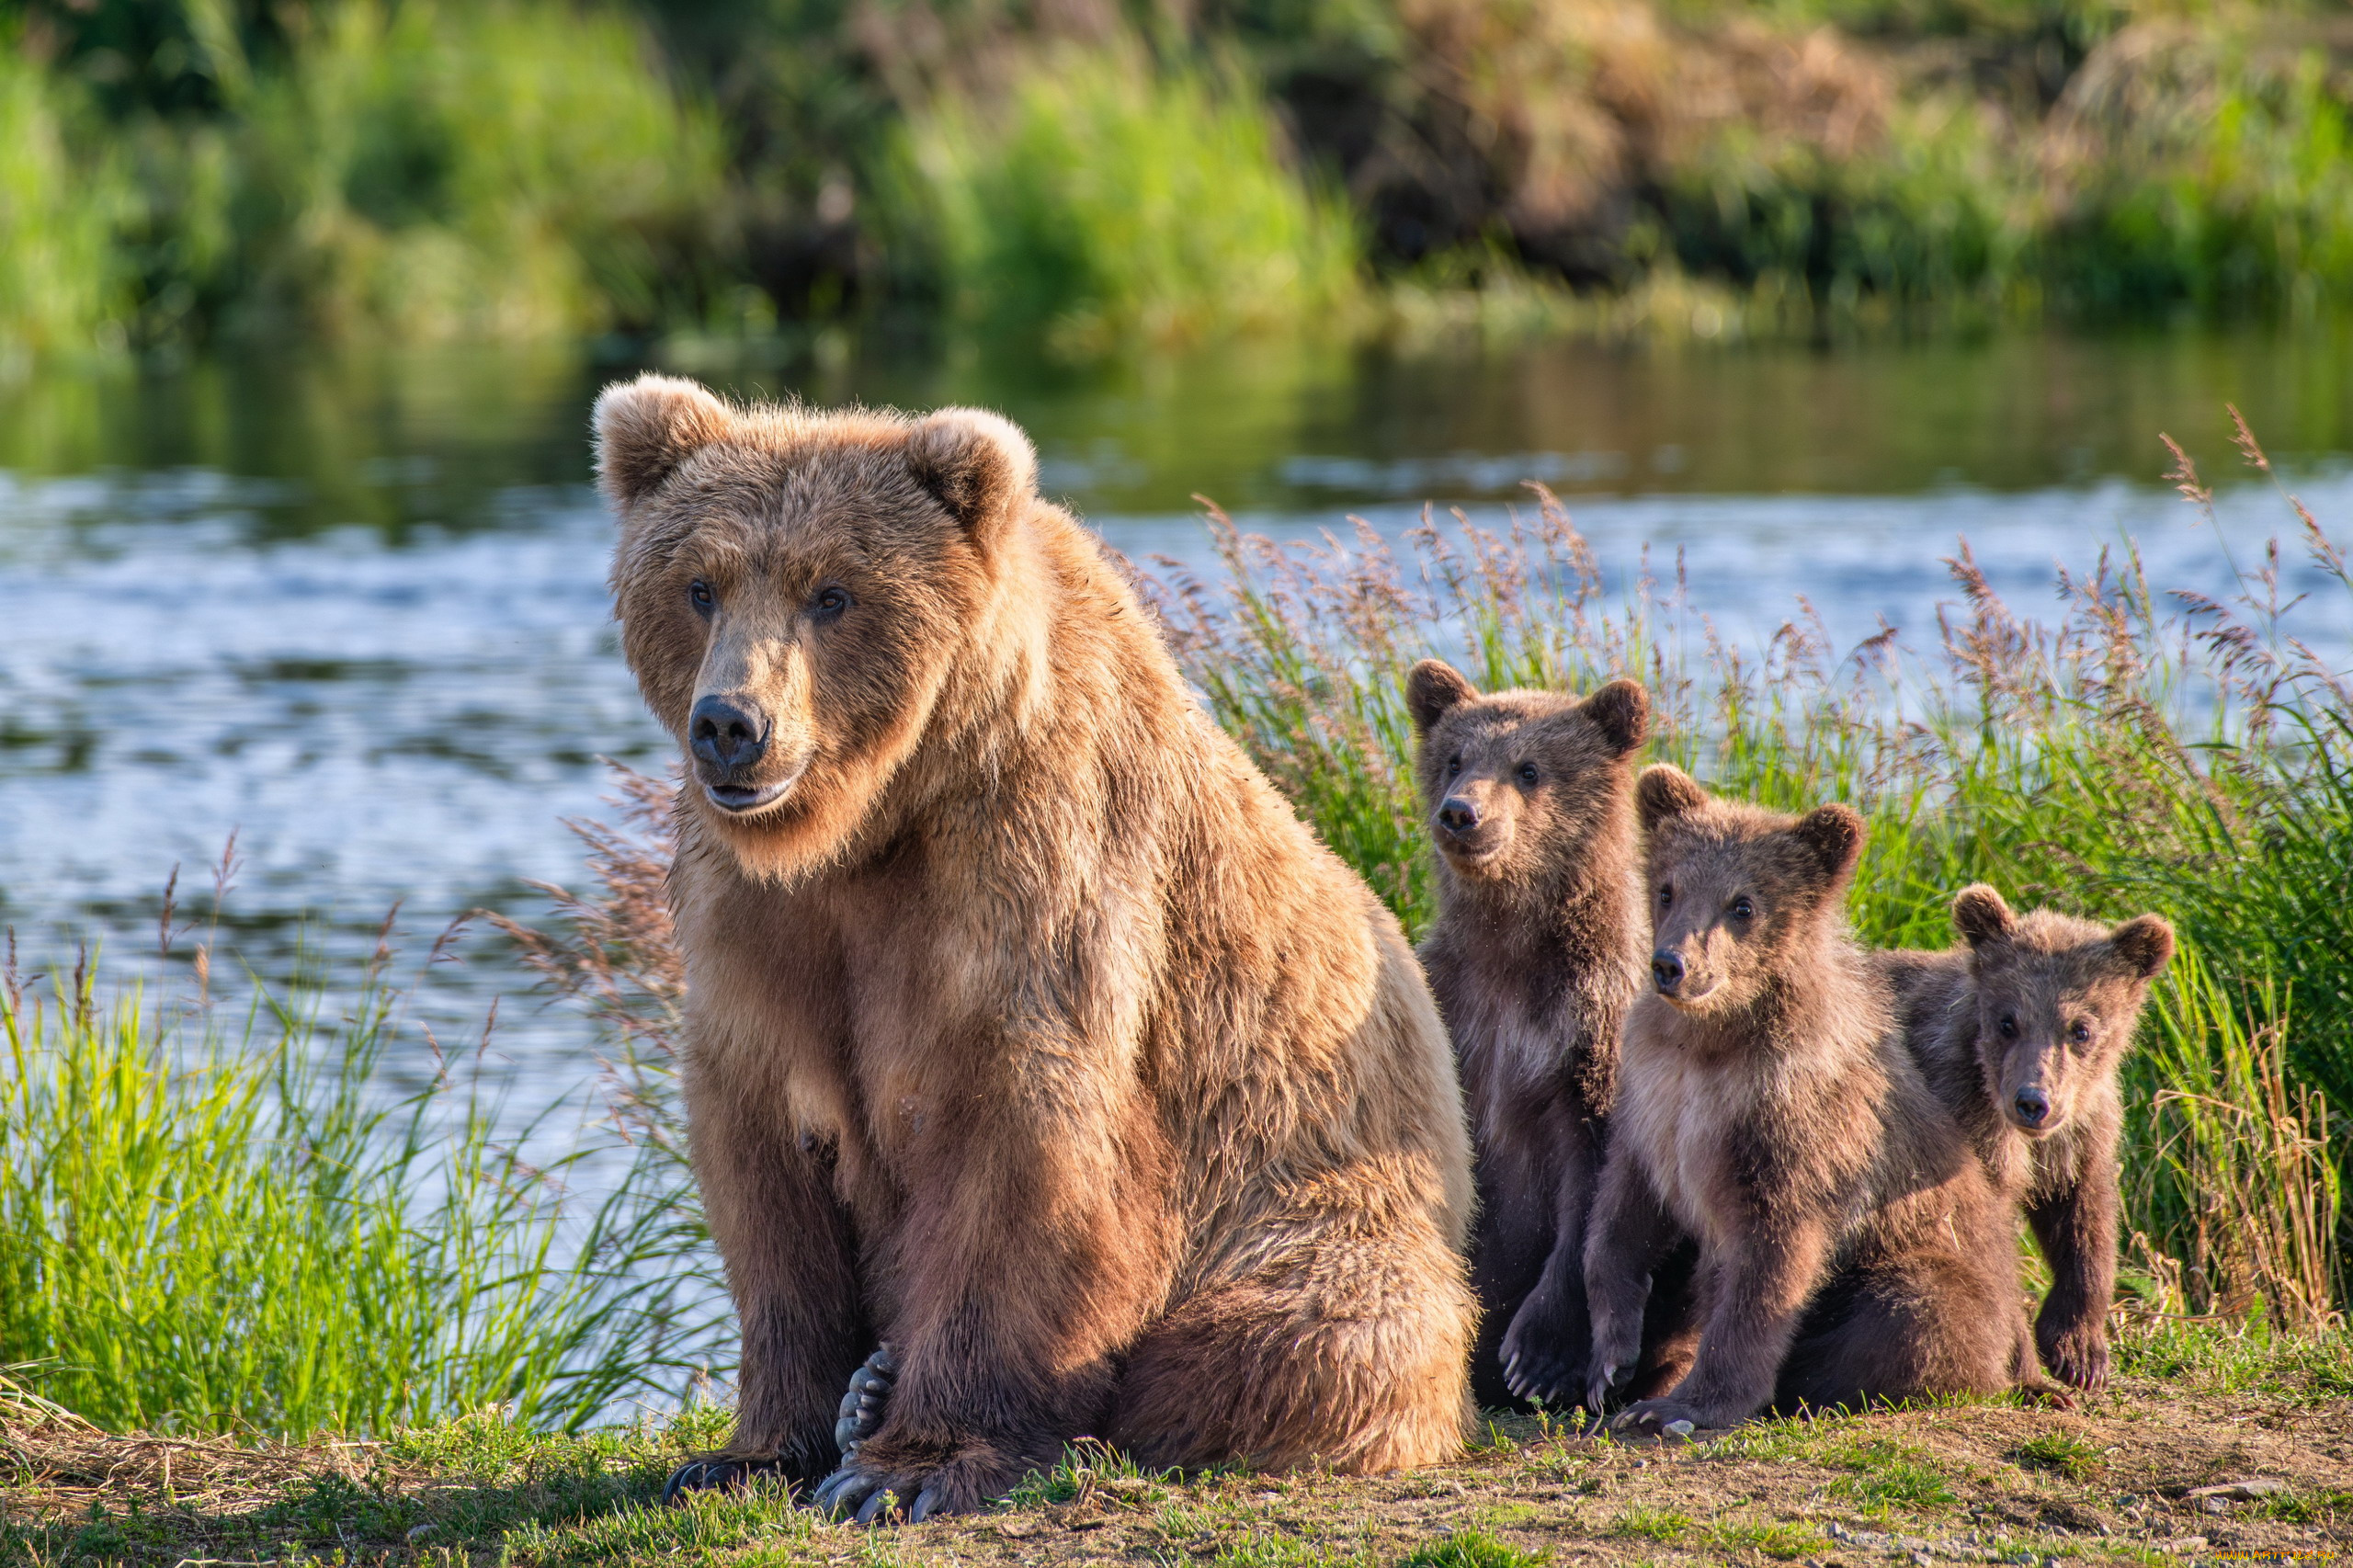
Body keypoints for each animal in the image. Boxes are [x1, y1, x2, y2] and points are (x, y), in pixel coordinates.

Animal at [593, 376, 1468, 1516]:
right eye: (699, 584)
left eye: (832, 593)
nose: (732, 725)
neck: (875, 820)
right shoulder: (761, 925)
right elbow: (764, 1168)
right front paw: (750, 1447)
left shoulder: (1031, 873)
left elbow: (1026, 1144)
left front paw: (909, 1467)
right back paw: (866, 1389)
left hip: (1325, 1194)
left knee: (1297, 1336)